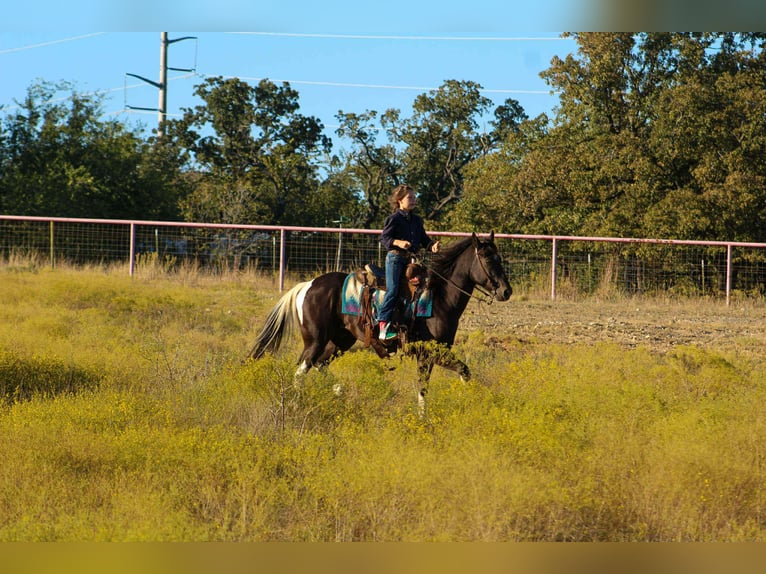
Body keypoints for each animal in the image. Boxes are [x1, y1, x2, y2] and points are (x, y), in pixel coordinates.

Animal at [246, 231, 512, 414]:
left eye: (499, 258)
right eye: (487, 258)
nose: (506, 291)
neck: (438, 295)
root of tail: (308, 285)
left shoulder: (434, 352)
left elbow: (447, 378)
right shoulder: (429, 351)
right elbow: (443, 378)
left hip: (340, 341)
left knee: (320, 365)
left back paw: (338, 391)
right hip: (315, 340)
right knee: (302, 368)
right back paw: (294, 404)